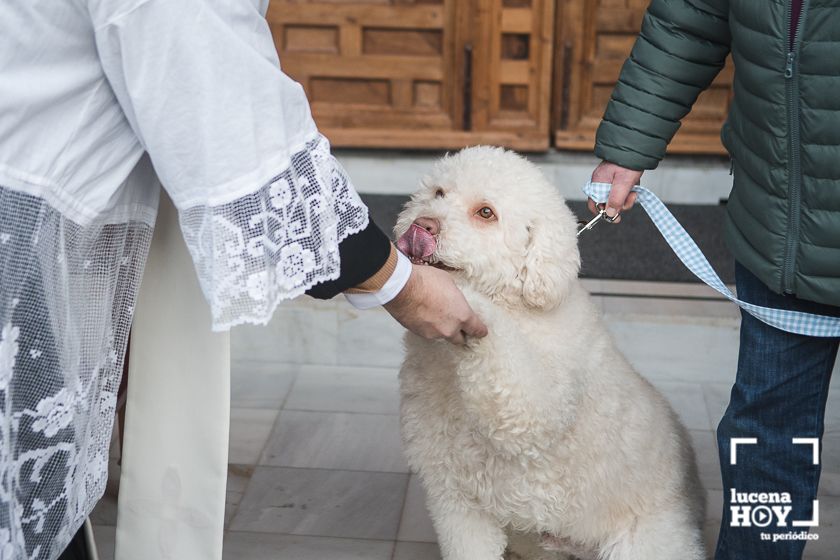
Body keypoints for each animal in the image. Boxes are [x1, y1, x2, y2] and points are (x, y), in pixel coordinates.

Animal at [394, 148, 704, 560]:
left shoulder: (535, 408)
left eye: (486, 213)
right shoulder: (456, 501)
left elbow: (521, 398)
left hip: (643, 544)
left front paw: (467, 298)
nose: (422, 225)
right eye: (438, 193)